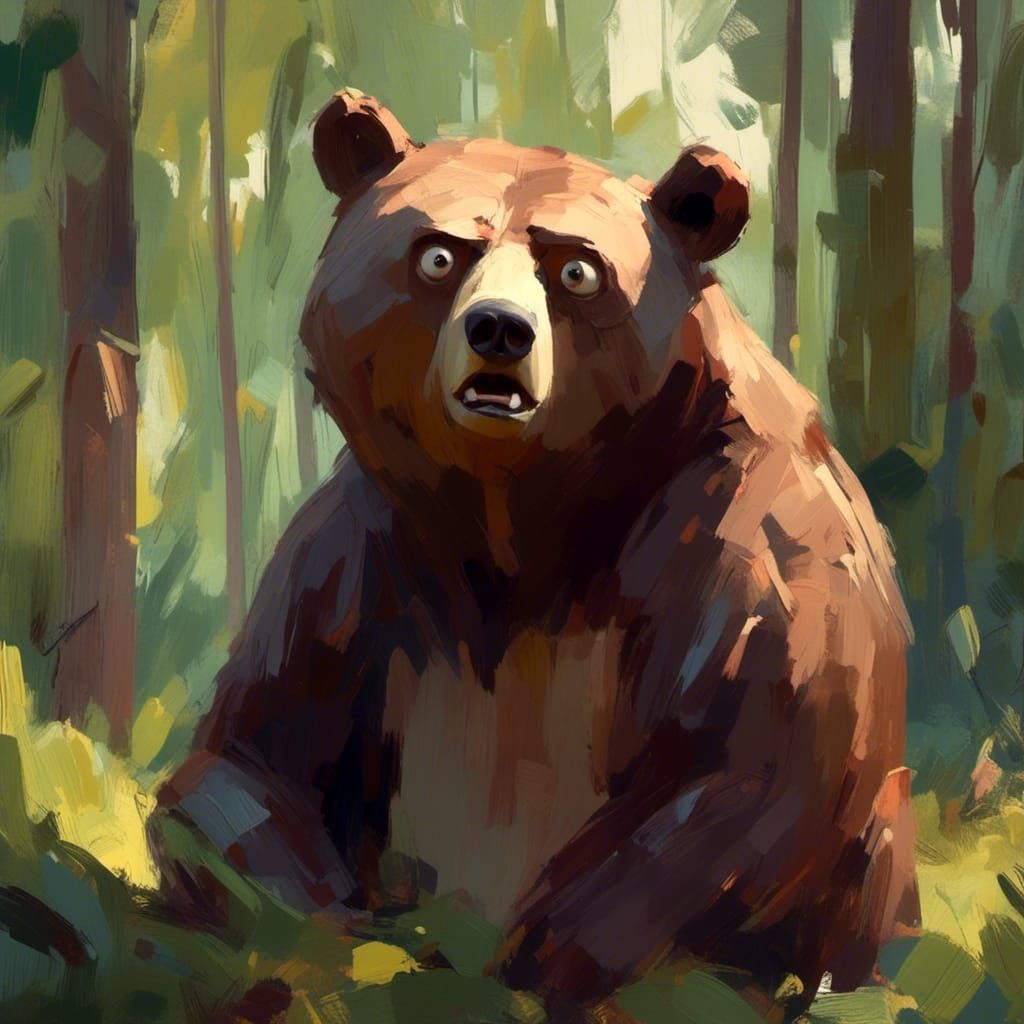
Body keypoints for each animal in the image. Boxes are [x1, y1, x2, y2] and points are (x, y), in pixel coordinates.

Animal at [152, 90, 918, 1020]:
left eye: (577, 270)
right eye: (439, 253)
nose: (499, 331)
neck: (522, 521)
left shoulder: (742, 526)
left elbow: (748, 767)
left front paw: (526, 965)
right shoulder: (360, 556)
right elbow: (246, 760)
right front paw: (339, 940)